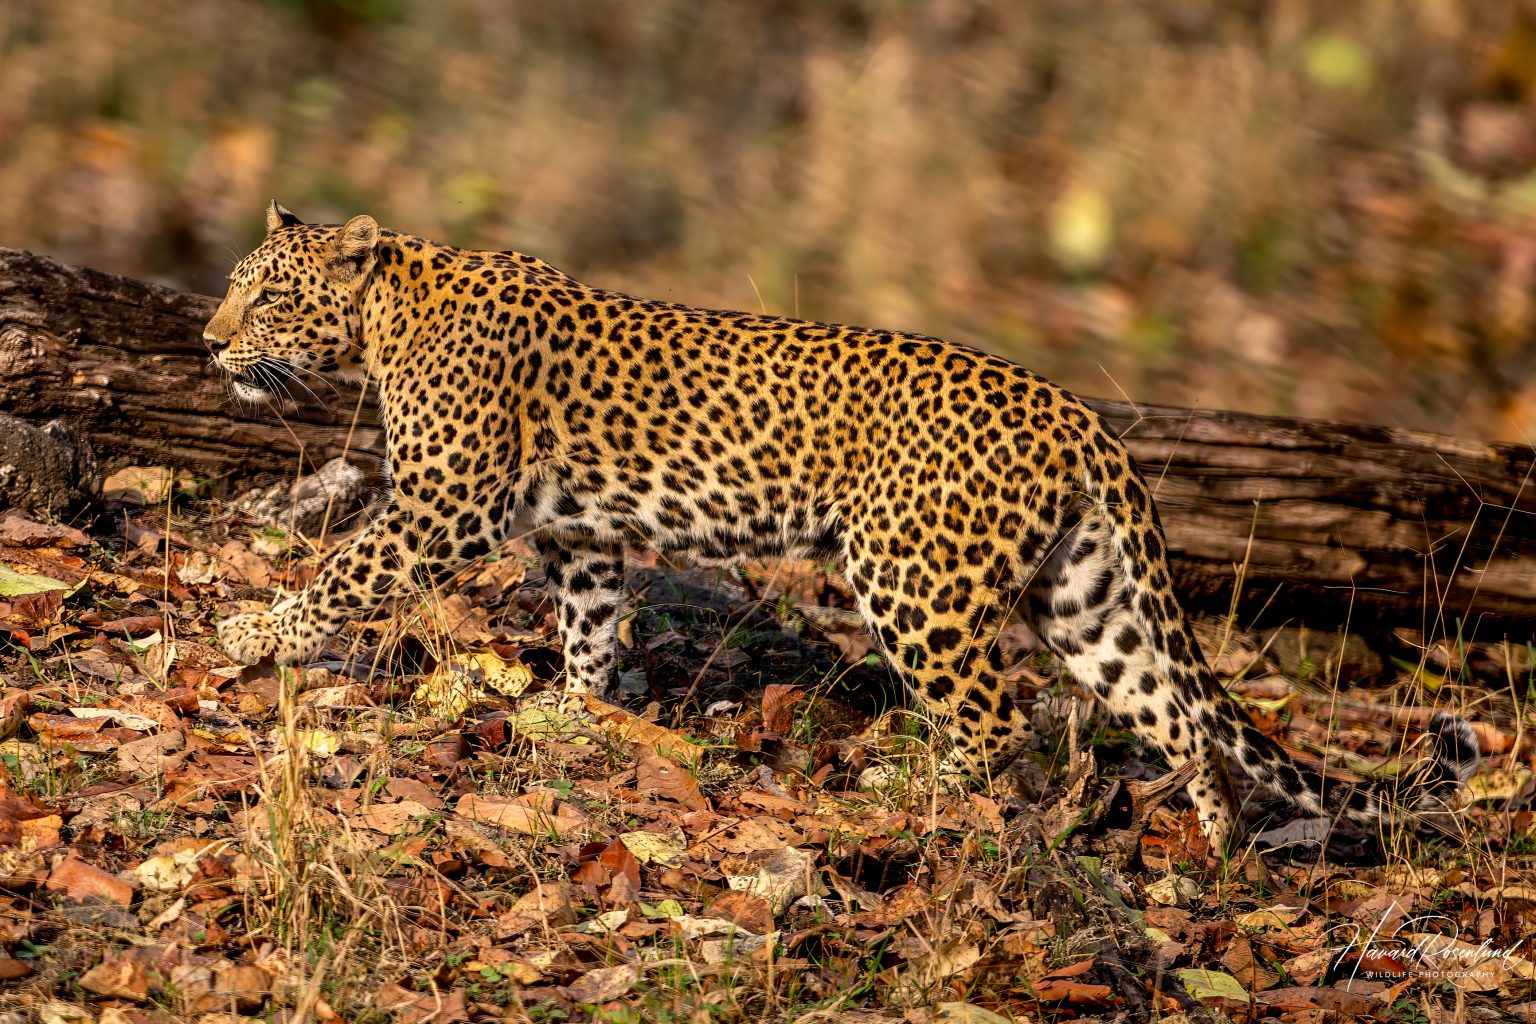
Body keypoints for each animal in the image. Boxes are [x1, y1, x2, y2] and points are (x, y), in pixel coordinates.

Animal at [209, 201, 1479, 851]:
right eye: (227, 281)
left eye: (264, 292)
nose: (212, 342)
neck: (386, 314)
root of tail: (1082, 416)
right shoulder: (581, 533)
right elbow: (590, 623)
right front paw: (575, 712)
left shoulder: (446, 503)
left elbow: (345, 571)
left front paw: (253, 636)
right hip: (1086, 599)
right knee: (1176, 715)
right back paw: (1212, 860)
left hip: (914, 579)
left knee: (999, 719)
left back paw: (896, 794)